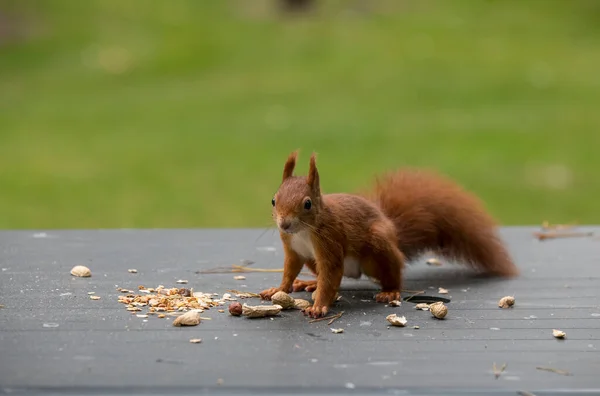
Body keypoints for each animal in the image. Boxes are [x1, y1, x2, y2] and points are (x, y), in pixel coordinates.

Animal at [260, 152, 516, 318]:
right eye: (273, 200)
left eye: (307, 204)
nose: (284, 224)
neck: (303, 231)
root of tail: (393, 231)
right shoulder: (293, 249)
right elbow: (290, 270)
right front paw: (277, 289)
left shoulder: (330, 242)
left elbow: (331, 273)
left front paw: (319, 306)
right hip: (315, 261)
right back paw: (311, 282)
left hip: (378, 246)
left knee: (391, 273)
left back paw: (390, 291)